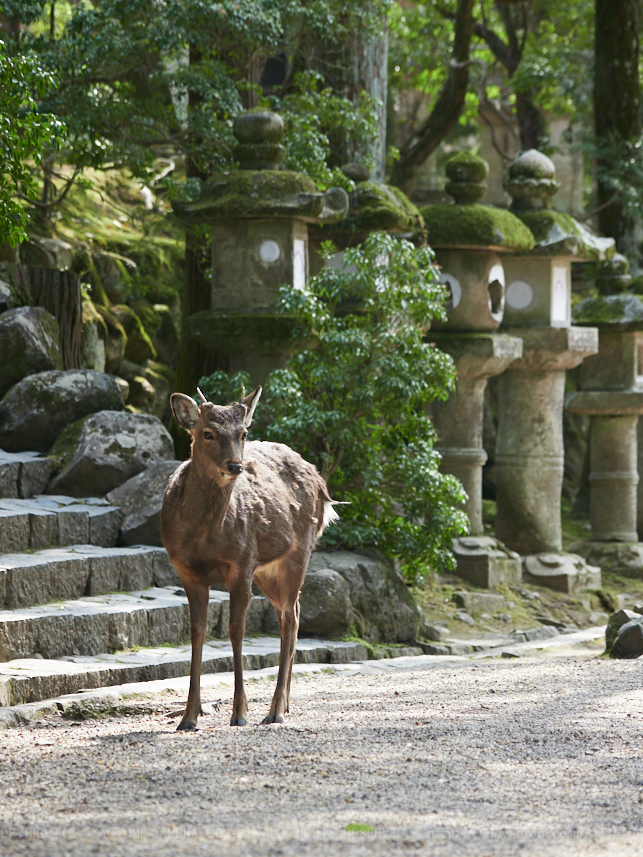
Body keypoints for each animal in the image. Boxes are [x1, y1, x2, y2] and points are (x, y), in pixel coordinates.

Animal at [161, 386, 340, 728]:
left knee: (290, 617)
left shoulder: (242, 562)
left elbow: (236, 629)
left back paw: (275, 710)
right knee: (292, 611)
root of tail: (321, 483)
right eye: (208, 433)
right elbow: (196, 632)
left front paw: (240, 713)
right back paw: (285, 704)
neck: (204, 538)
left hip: (298, 551)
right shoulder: (186, 571)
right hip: (267, 570)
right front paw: (189, 716)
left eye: (243, 433)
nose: (235, 466)